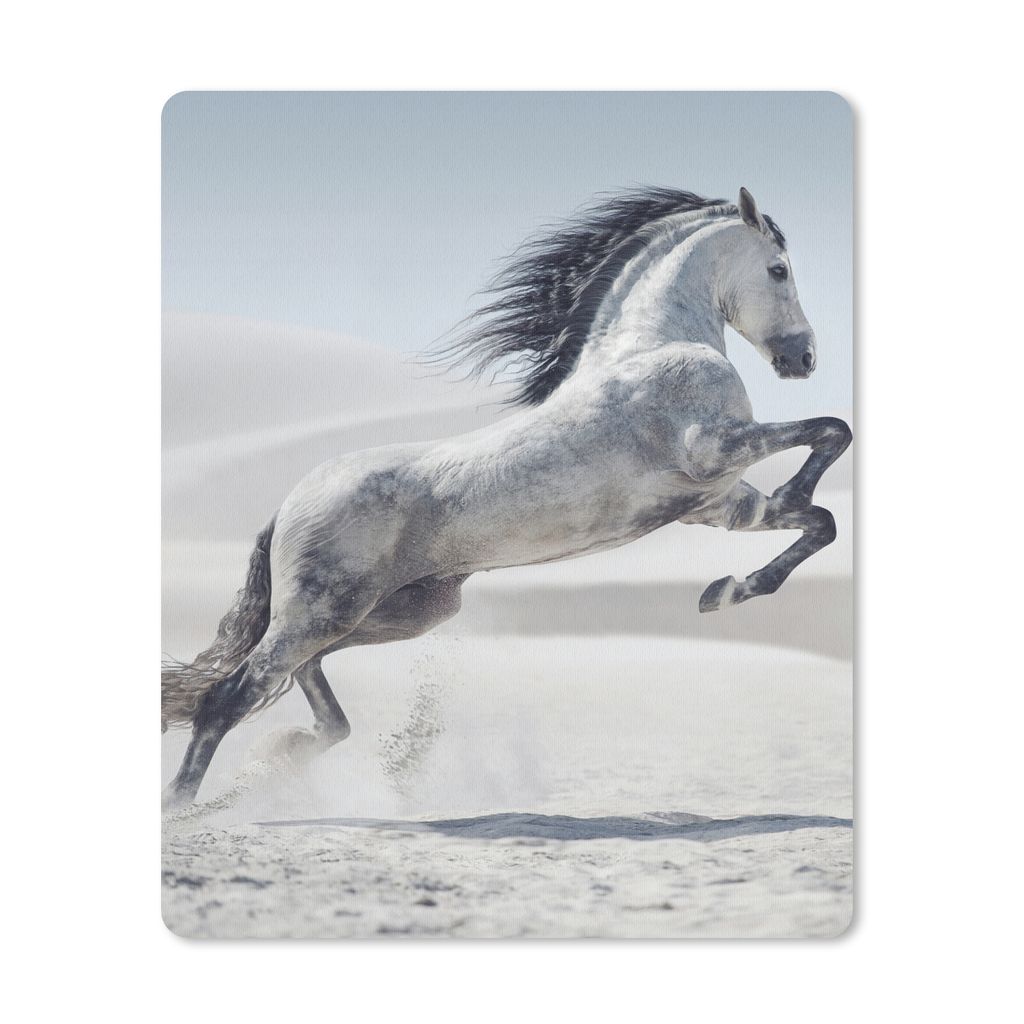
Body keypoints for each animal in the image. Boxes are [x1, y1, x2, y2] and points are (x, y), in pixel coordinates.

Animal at [162, 187, 852, 809]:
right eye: (779, 268)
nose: (804, 358)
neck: (653, 346)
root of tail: (287, 505)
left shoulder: (718, 502)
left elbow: (820, 521)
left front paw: (725, 591)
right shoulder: (713, 448)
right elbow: (832, 432)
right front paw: (775, 514)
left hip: (401, 612)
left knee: (304, 681)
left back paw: (278, 763)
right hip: (324, 610)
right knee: (229, 696)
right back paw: (186, 806)